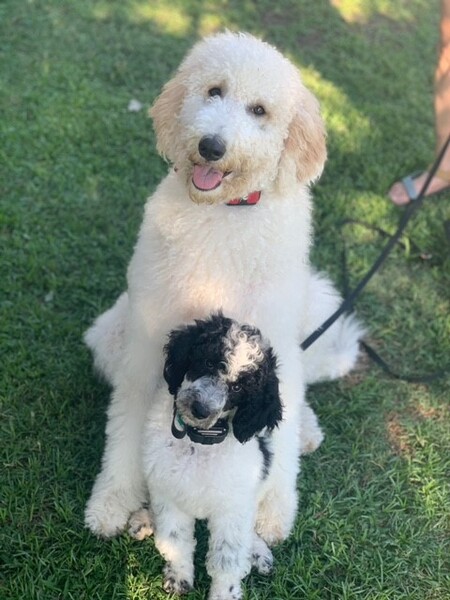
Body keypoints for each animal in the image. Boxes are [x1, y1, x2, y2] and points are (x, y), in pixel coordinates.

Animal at [84, 31, 362, 548]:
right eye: (213, 91)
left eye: (259, 110)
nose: (211, 146)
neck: (223, 214)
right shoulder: (148, 340)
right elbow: (126, 424)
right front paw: (113, 499)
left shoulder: (271, 339)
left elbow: (278, 428)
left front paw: (274, 507)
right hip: (111, 333)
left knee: (297, 393)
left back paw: (306, 429)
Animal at [128, 314, 320, 600]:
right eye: (208, 362)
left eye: (239, 387)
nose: (199, 409)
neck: (199, 441)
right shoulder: (170, 495)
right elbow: (175, 540)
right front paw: (179, 575)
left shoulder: (232, 509)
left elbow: (227, 560)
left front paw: (224, 592)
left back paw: (258, 551)